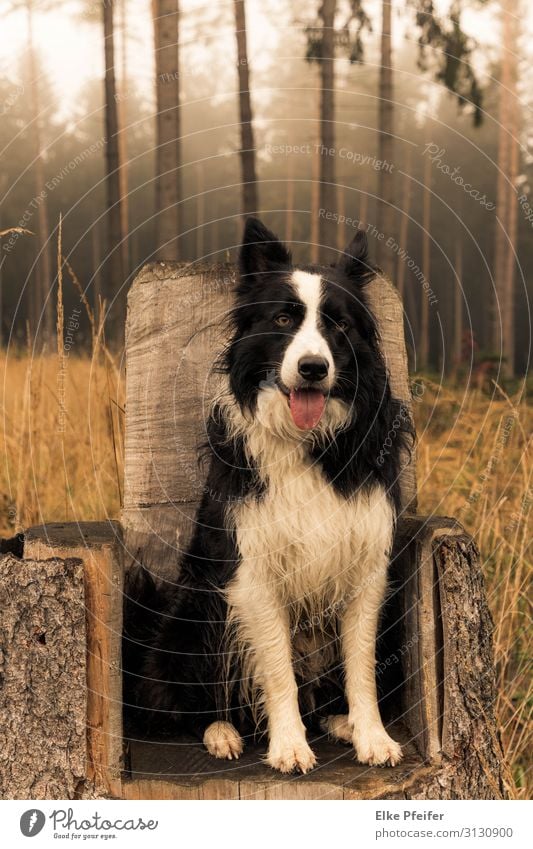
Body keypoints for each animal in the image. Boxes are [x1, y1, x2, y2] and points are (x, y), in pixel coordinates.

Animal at [124, 215, 412, 772]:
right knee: (182, 702)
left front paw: (372, 736)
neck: (308, 443)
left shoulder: (365, 565)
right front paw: (289, 746)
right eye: (282, 319)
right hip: (197, 609)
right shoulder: (252, 572)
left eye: (339, 326)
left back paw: (338, 722)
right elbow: (277, 668)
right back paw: (221, 731)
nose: (313, 368)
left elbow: (362, 665)